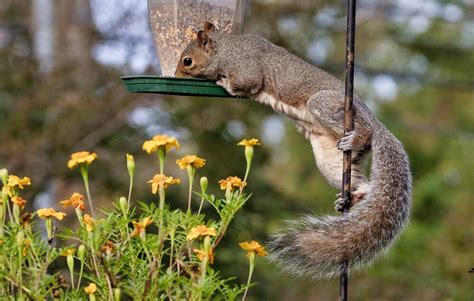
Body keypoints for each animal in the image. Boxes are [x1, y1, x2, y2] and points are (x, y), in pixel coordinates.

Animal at [174, 21, 412, 278]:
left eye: (187, 61)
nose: (175, 77)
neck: (224, 50)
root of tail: (375, 122)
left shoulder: (245, 68)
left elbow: (244, 83)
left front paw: (223, 82)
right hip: (329, 158)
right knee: (363, 184)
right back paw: (354, 197)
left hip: (328, 105)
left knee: (364, 131)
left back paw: (360, 138)